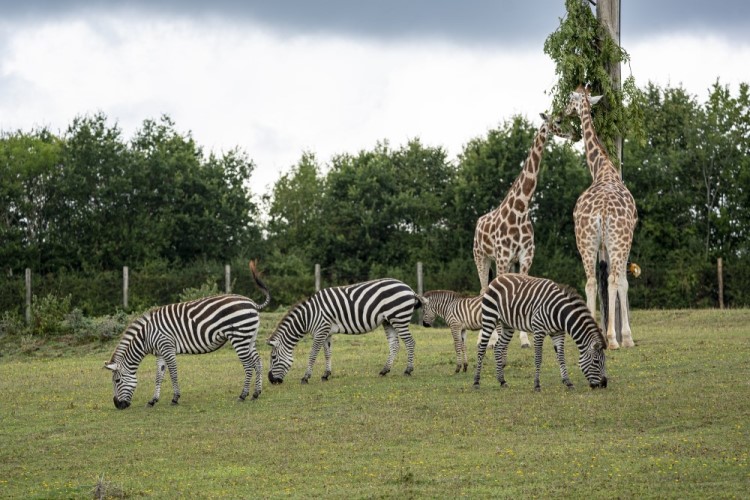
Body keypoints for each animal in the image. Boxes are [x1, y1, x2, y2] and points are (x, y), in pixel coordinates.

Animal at [103, 260, 270, 408]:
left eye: (117, 381)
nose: (118, 405)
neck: (146, 337)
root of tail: (252, 303)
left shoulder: (167, 348)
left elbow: (173, 374)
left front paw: (175, 398)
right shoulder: (160, 353)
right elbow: (158, 376)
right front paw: (153, 400)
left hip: (239, 338)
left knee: (248, 365)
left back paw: (243, 395)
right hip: (249, 338)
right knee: (258, 362)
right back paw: (256, 393)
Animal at [268, 278, 424, 382]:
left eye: (273, 357)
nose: (271, 380)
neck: (309, 316)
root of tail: (409, 288)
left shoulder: (320, 331)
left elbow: (312, 354)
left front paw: (306, 377)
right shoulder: (326, 333)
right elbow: (327, 354)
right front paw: (326, 374)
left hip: (399, 318)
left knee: (410, 342)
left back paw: (408, 370)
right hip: (389, 321)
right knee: (394, 345)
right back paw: (384, 370)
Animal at [472, 113, 580, 348]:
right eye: (558, 120)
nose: (576, 133)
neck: (522, 209)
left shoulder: (525, 256)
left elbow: (523, 291)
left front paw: (523, 339)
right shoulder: (502, 257)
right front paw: (499, 337)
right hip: (482, 257)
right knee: (484, 290)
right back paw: (488, 338)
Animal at [476, 274, 612, 390]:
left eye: (604, 361)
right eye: (596, 361)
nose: (604, 384)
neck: (559, 313)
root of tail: (498, 278)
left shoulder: (558, 333)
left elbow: (561, 357)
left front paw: (568, 382)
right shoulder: (539, 331)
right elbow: (538, 358)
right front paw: (537, 385)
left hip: (507, 325)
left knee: (498, 347)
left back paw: (502, 381)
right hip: (489, 317)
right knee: (482, 348)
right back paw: (476, 382)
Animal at [560, 84, 636, 350]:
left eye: (569, 100)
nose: (563, 113)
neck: (602, 169)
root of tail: (602, 211)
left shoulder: (602, 245)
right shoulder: (623, 241)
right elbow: (622, 281)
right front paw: (626, 337)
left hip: (585, 240)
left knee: (591, 281)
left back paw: (593, 335)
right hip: (616, 240)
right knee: (612, 279)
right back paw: (612, 340)